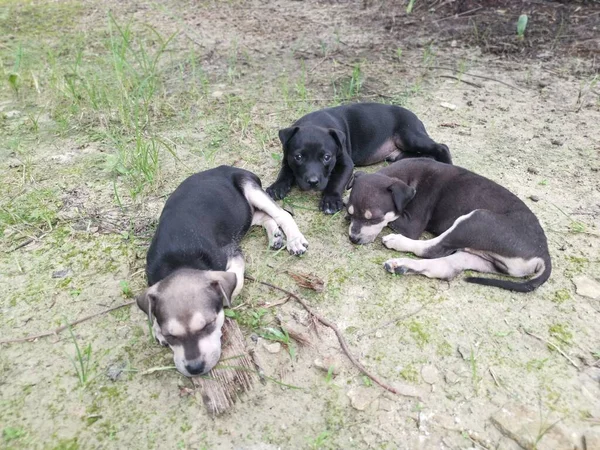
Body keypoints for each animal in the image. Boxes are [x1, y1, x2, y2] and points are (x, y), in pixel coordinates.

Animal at [138, 165, 310, 376]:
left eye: (208, 325)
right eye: (170, 335)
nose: (195, 369)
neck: (180, 263)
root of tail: (228, 167)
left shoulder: (232, 253)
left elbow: (235, 281)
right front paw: (155, 327)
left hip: (251, 189)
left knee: (281, 214)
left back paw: (294, 239)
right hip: (243, 213)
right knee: (262, 217)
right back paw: (275, 235)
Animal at [268, 102, 450, 214]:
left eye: (326, 157)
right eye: (298, 157)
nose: (313, 182)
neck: (314, 123)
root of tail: (415, 117)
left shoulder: (345, 163)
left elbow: (337, 181)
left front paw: (330, 200)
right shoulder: (287, 158)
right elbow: (285, 172)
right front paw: (277, 186)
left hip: (409, 136)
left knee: (442, 147)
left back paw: (448, 164)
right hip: (402, 151)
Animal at [344, 160, 552, 294]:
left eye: (373, 218)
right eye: (352, 212)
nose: (353, 238)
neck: (407, 178)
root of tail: (543, 254)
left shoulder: (411, 224)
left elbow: (393, 219)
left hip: (476, 220)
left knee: (432, 249)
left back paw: (397, 243)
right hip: (484, 259)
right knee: (445, 267)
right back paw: (401, 266)